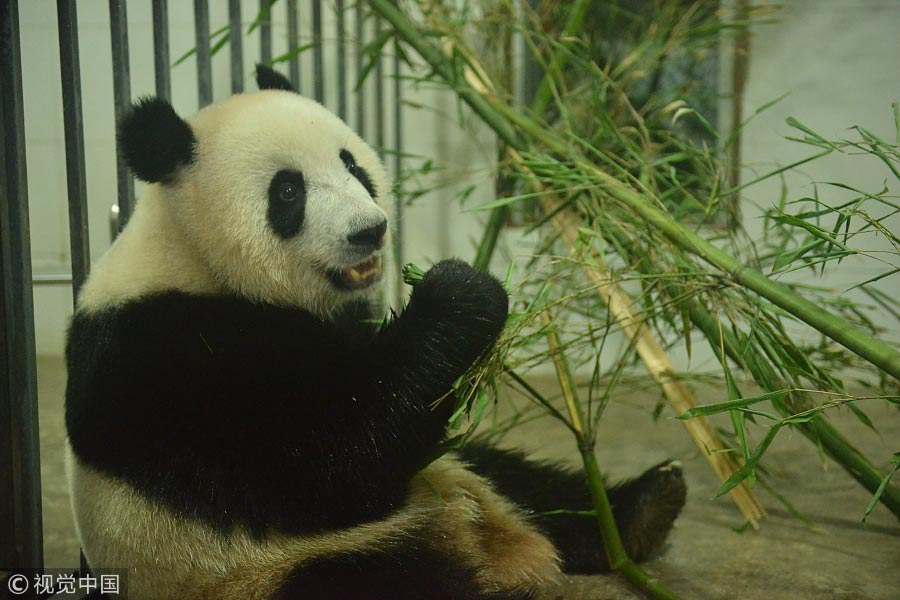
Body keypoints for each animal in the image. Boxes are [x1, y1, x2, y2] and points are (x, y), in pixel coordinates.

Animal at [65, 65, 684, 600]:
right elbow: (328, 465)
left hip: (450, 468)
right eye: (287, 191)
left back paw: (643, 509)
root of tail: (493, 544)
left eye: (352, 165)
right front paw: (461, 291)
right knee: (387, 579)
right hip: (271, 570)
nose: (370, 231)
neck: (189, 255)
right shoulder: (166, 355)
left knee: (512, 473)